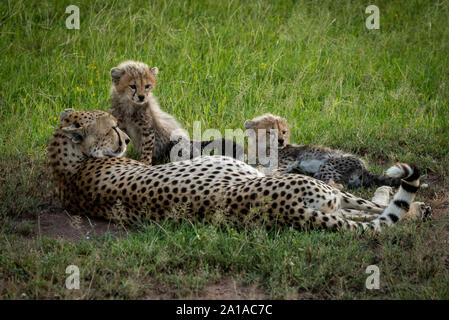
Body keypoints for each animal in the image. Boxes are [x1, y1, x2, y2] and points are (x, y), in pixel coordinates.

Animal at [245, 113, 402, 188]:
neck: (264, 148)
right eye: (270, 132)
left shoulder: (290, 160)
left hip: (328, 165)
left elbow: (273, 168)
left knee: (337, 186)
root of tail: (365, 168)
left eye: (283, 132)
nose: (281, 141)